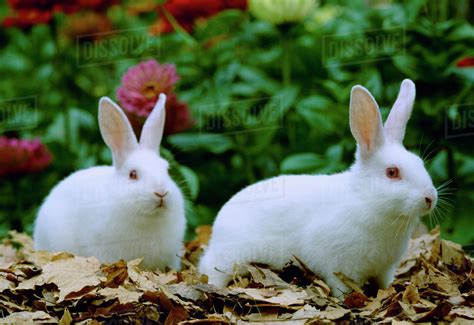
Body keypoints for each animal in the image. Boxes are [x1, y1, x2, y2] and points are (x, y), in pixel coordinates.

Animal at [199, 79, 436, 294]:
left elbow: (384, 284)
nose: (430, 198)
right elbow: (341, 288)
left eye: (420, 163)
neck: (366, 200)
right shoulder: (338, 266)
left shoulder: (385, 268)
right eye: (392, 172)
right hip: (227, 259)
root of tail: (217, 227)